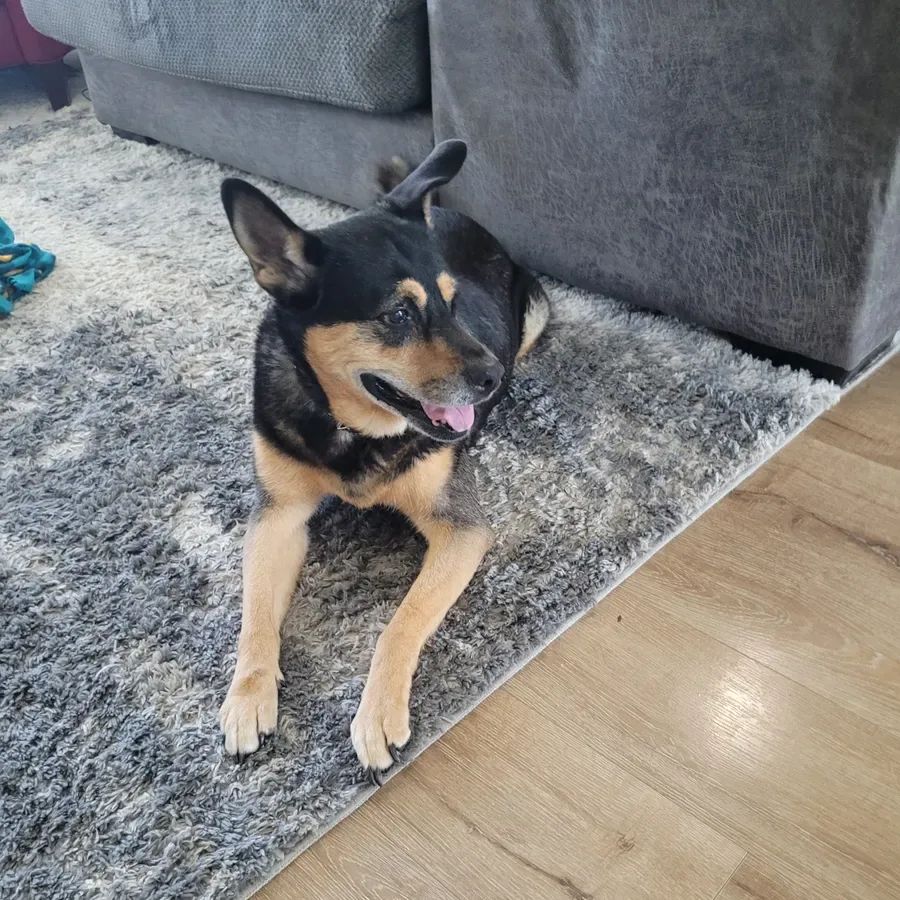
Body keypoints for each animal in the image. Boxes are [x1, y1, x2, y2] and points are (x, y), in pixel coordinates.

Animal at [218, 139, 548, 772]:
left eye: (453, 303)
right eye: (397, 315)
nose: (492, 378)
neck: (355, 430)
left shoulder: (460, 529)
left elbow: (401, 622)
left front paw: (377, 713)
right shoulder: (276, 517)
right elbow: (255, 613)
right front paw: (248, 694)